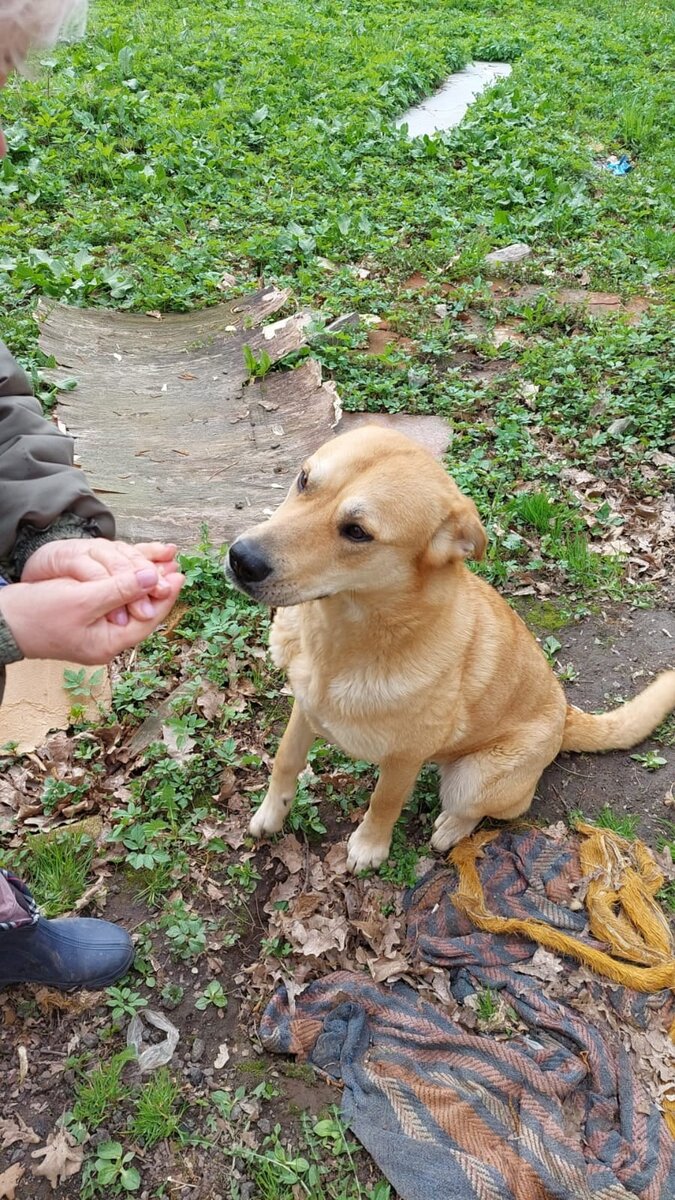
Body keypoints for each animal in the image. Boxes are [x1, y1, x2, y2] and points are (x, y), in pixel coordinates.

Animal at [225, 429, 672, 873]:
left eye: (356, 531)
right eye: (303, 480)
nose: (241, 559)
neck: (342, 638)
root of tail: (566, 715)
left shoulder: (405, 757)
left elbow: (384, 802)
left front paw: (369, 847)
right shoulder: (304, 709)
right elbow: (285, 761)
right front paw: (271, 813)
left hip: (473, 778)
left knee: (489, 808)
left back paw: (452, 828)